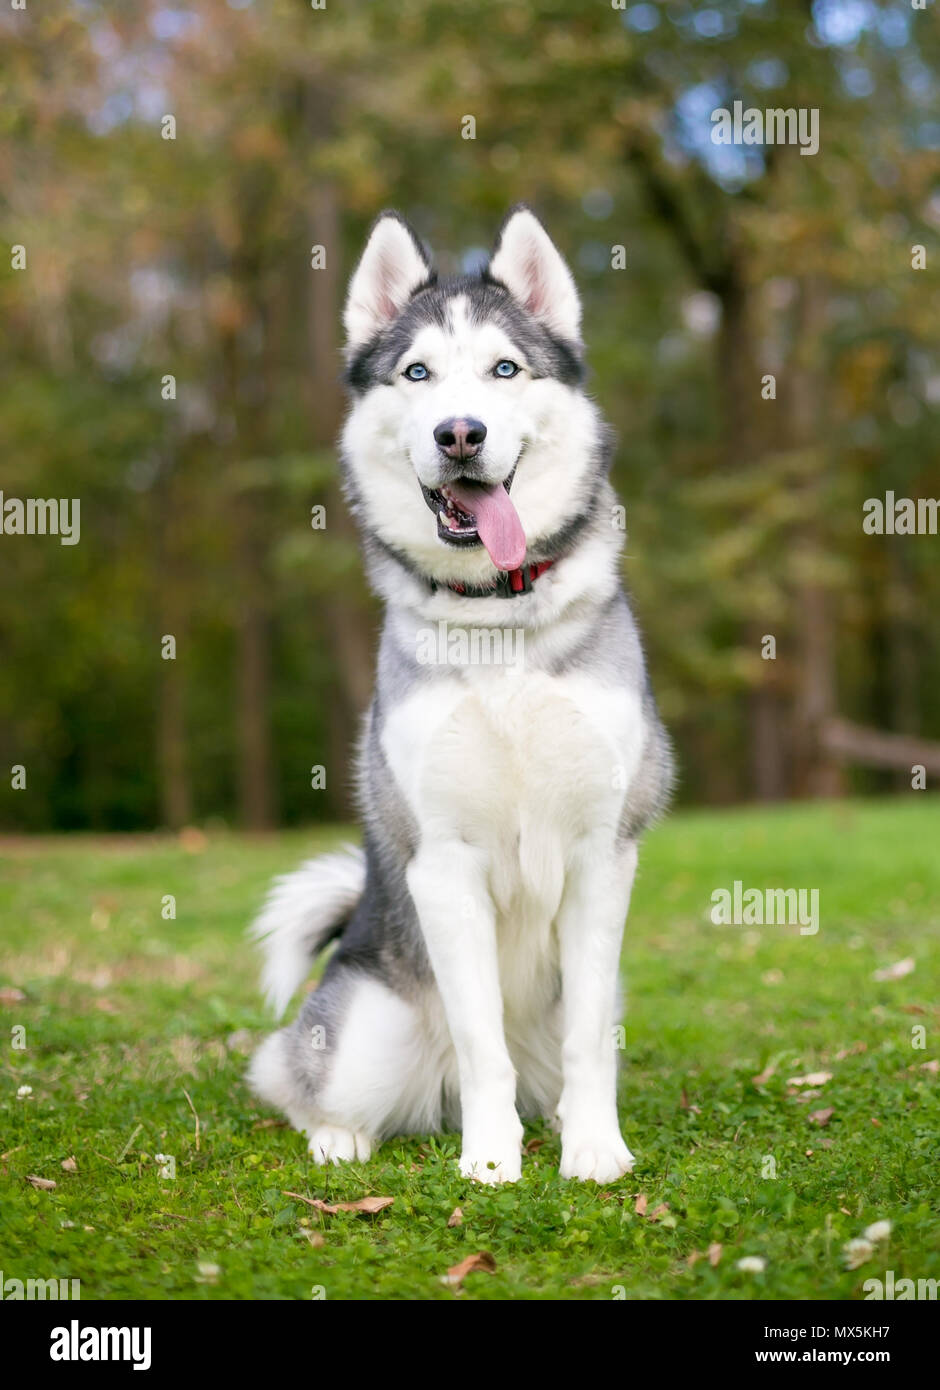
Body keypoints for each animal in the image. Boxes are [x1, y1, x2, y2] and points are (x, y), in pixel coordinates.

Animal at [251, 205, 667, 1184]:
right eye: (418, 373)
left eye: (504, 369)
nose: (460, 433)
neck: (498, 619)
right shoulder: (442, 860)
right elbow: (483, 1044)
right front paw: (489, 1164)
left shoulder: (602, 854)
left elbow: (589, 1042)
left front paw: (595, 1151)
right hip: (363, 1031)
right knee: (296, 1079)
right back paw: (341, 1138)